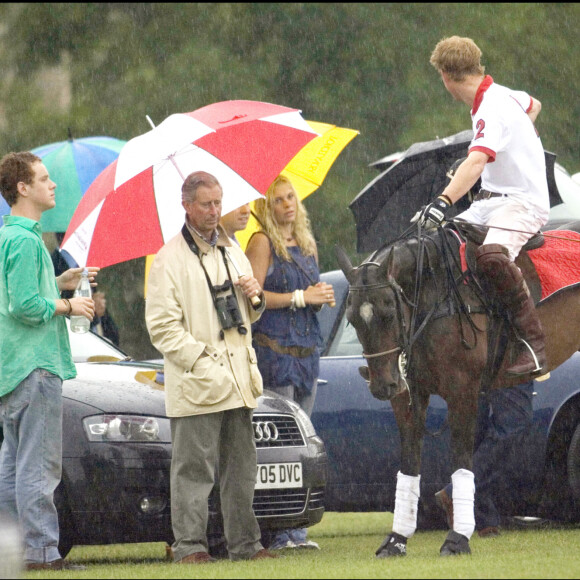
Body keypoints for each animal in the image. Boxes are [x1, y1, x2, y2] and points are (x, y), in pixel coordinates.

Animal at [336, 223, 580, 556]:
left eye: (388, 312)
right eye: (351, 319)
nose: (382, 385)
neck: (433, 295)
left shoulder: (462, 391)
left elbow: (462, 461)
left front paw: (457, 538)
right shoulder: (409, 396)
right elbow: (410, 463)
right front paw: (397, 539)